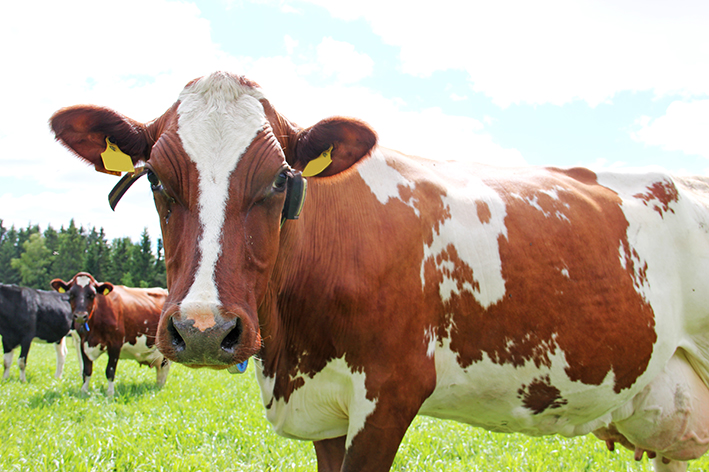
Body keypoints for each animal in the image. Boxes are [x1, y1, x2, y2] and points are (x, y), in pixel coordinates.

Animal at [51, 72, 709, 470]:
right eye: (157, 180)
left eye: (281, 179)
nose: (206, 330)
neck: (292, 351)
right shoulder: (322, 410)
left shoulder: (390, 394)